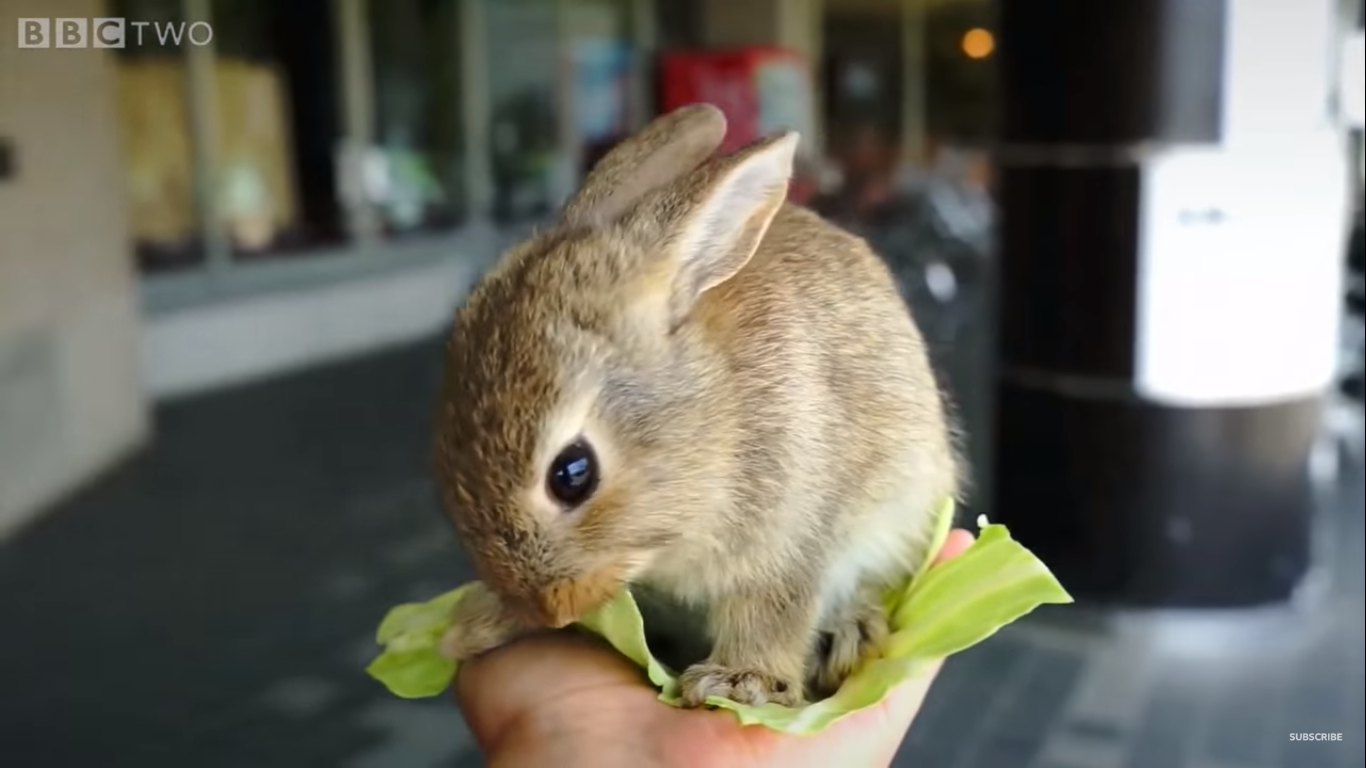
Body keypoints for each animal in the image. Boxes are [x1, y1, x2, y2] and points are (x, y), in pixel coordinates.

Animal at [433, 103, 963, 708]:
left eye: (573, 473)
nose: (548, 607)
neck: (712, 415)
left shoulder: (789, 537)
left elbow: (771, 610)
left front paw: (740, 682)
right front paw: (476, 625)